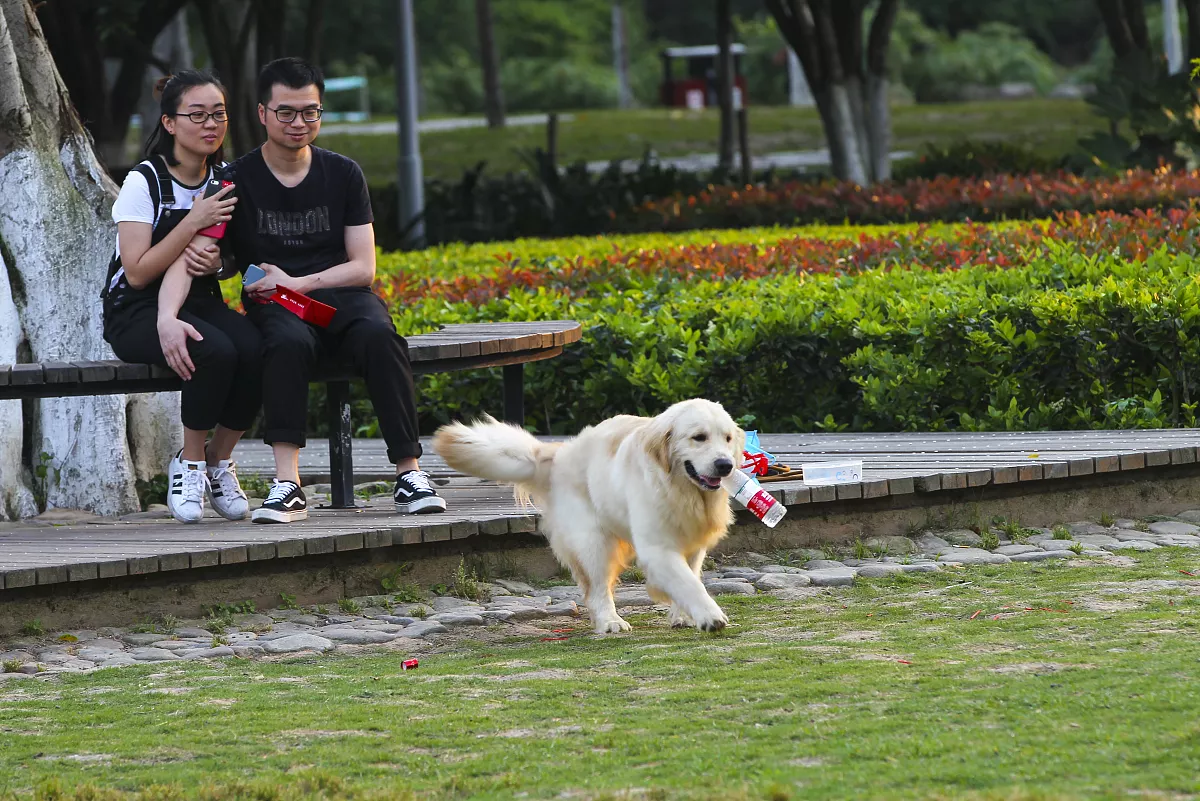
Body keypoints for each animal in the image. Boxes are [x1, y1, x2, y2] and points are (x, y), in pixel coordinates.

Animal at [436, 398, 744, 633]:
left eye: (727, 438)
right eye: (699, 437)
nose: (725, 465)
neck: (682, 490)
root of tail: (561, 453)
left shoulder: (693, 543)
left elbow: (690, 577)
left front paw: (683, 615)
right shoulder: (657, 547)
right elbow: (688, 583)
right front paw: (710, 616)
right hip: (593, 542)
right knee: (596, 589)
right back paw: (610, 622)